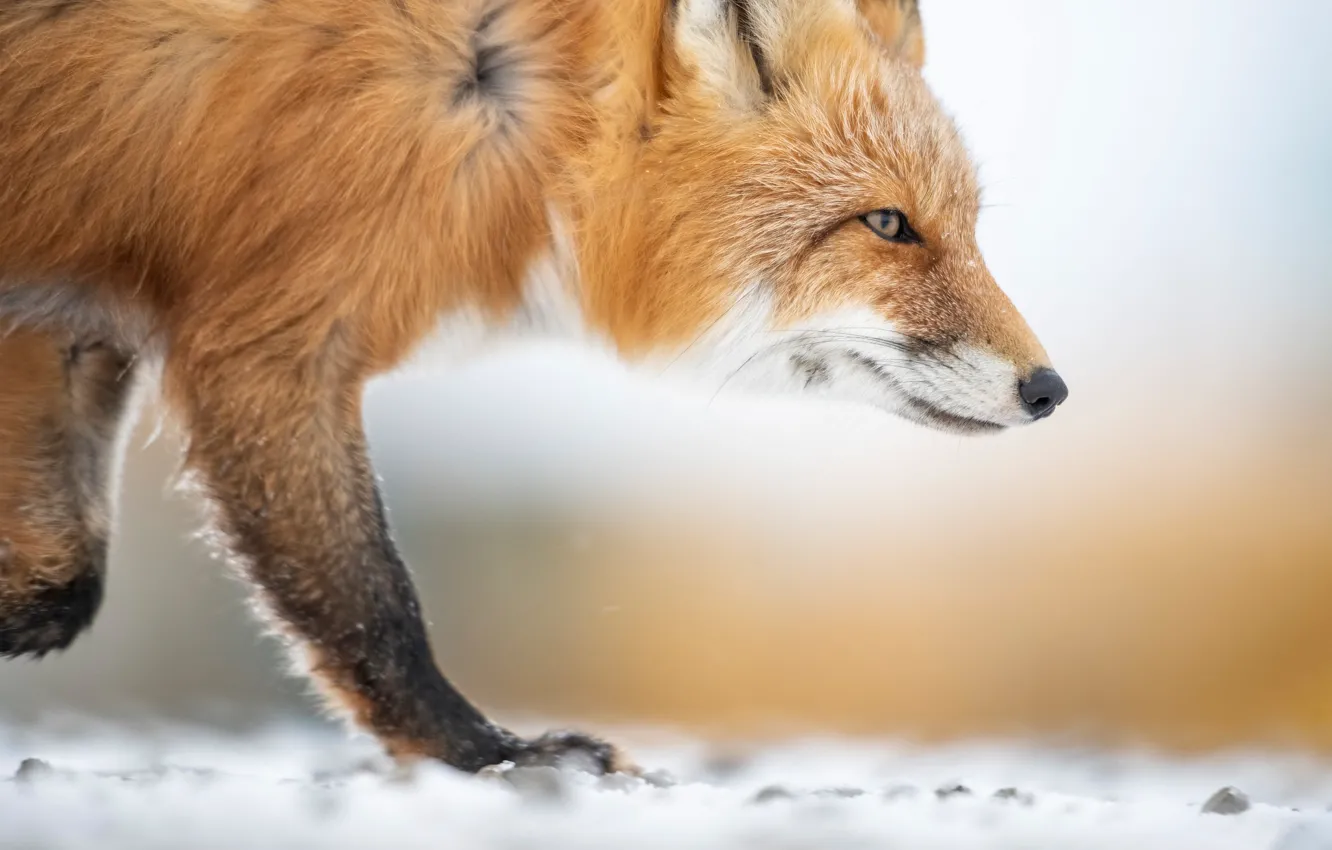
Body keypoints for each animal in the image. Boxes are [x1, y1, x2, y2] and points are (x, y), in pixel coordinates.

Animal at [0, 0, 1066, 773]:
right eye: (887, 225)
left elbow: (64, 582)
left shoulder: (68, 312)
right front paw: (491, 756)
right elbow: (373, 606)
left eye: (964, 227)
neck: (529, 111)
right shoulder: (266, 346)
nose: (1050, 390)